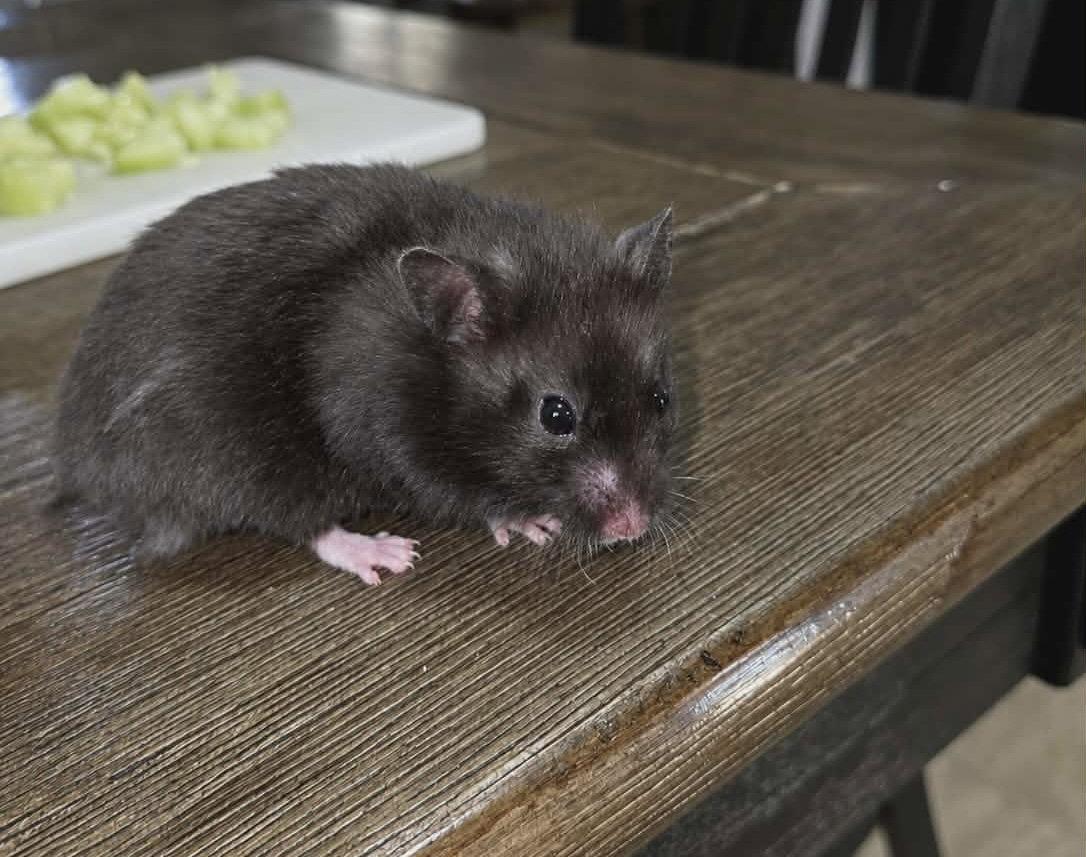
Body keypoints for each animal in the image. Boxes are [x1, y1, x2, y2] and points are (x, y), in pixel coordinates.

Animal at [54, 163, 677, 584]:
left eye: (661, 399)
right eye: (556, 415)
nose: (633, 528)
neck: (429, 370)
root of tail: (79, 462)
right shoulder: (386, 438)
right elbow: (456, 495)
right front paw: (533, 523)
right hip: (236, 457)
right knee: (297, 520)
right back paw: (386, 555)